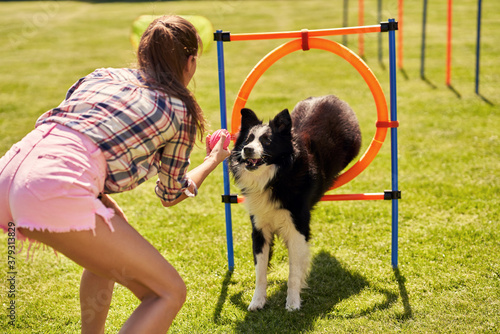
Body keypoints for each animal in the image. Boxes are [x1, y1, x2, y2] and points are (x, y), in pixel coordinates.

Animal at [229, 94, 362, 310]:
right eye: (248, 139)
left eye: (267, 141)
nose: (247, 150)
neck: (275, 177)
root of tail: (329, 96)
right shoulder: (259, 228)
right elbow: (260, 272)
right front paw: (257, 302)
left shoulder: (298, 228)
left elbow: (294, 272)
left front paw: (292, 303)